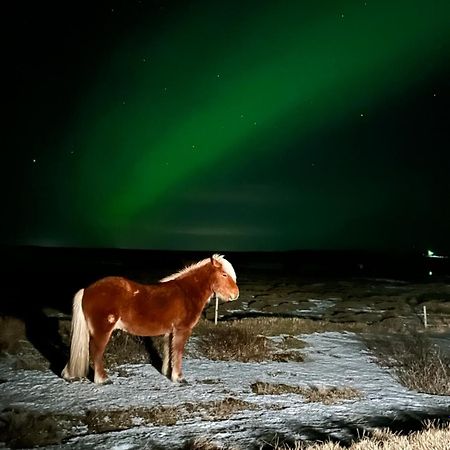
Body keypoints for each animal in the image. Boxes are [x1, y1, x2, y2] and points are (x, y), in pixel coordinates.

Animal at [63, 255, 241, 384]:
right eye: (224, 274)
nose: (236, 294)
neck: (186, 292)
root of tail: (87, 290)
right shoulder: (182, 330)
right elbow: (178, 352)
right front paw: (179, 378)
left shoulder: (170, 332)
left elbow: (169, 351)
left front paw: (167, 373)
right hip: (102, 331)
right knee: (96, 352)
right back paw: (102, 379)